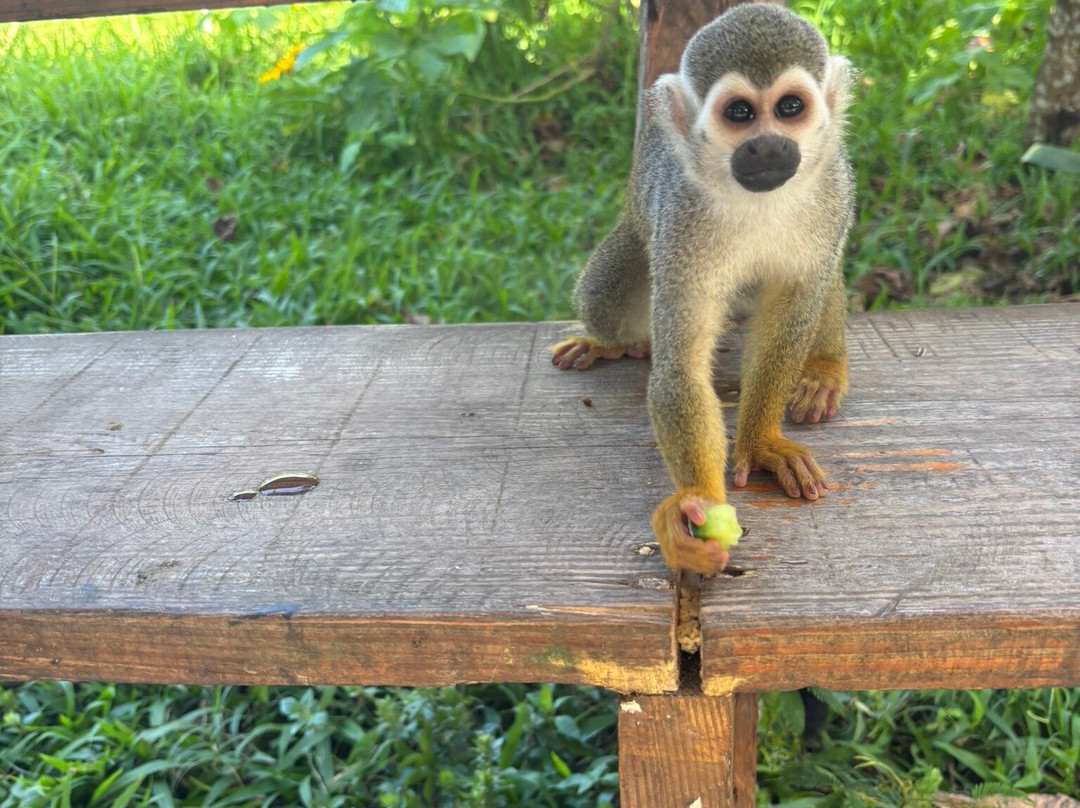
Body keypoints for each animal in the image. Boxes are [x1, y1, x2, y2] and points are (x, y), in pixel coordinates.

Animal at [551, 3, 855, 575]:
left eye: (789, 107)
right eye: (739, 113)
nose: (768, 144)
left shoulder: (834, 188)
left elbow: (796, 300)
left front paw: (761, 441)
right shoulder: (682, 221)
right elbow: (681, 371)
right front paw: (695, 506)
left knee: (826, 269)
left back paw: (825, 366)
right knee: (605, 296)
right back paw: (612, 342)